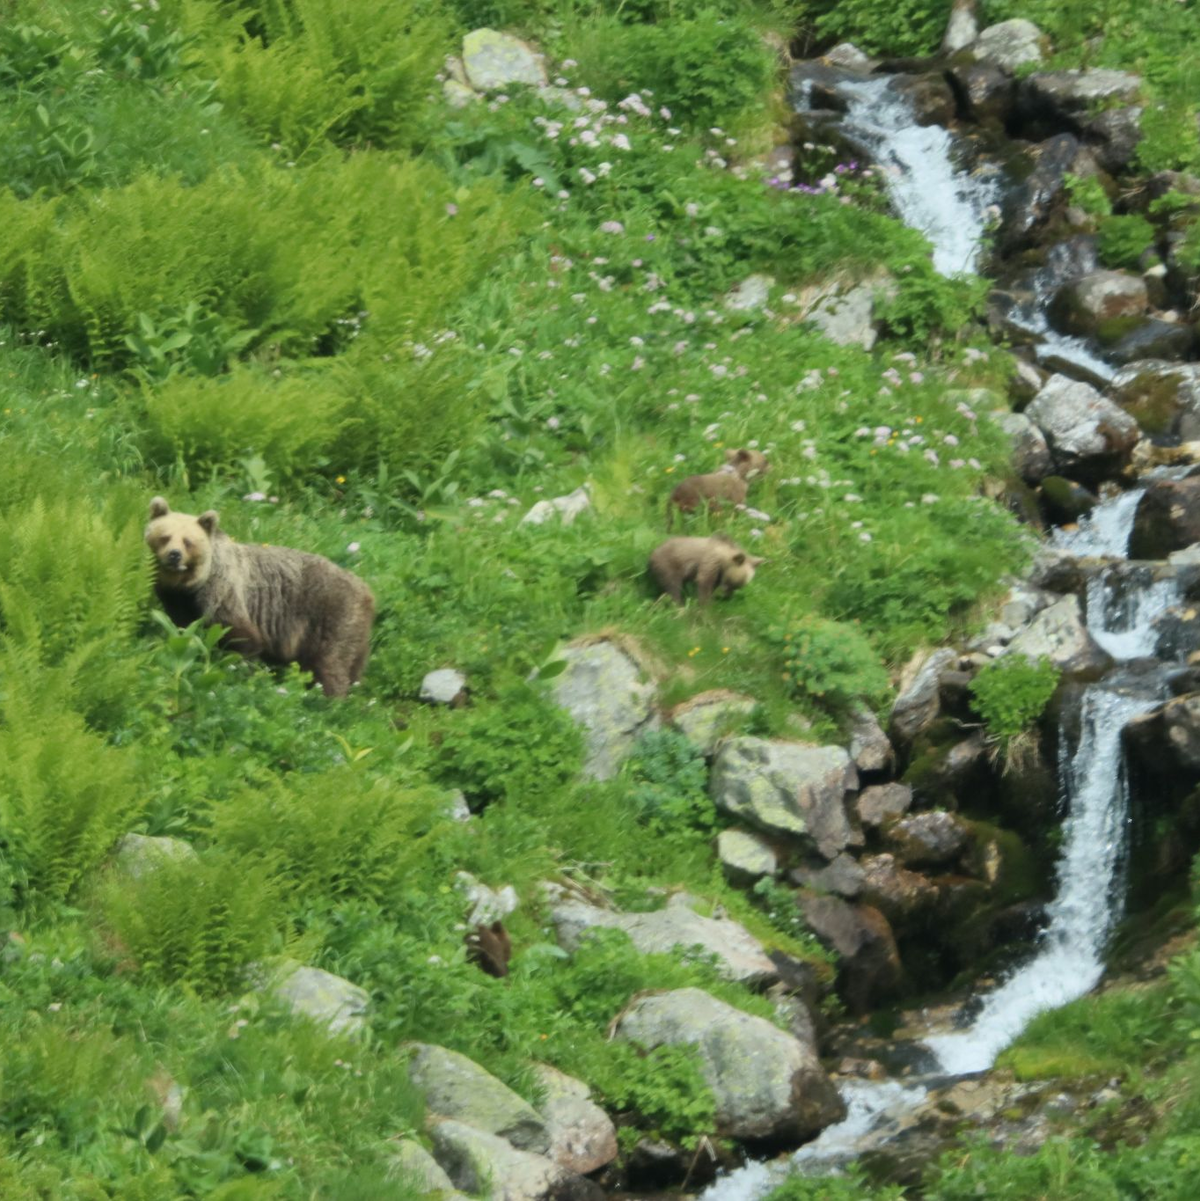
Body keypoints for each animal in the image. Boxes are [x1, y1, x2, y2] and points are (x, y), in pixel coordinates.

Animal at [144, 496, 375, 698]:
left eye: (188, 541)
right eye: (165, 536)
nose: (174, 555)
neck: (190, 583)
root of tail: (367, 592)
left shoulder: (222, 592)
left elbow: (241, 635)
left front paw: (239, 671)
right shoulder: (176, 599)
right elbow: (181, 627)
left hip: (332, 616)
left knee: (331, 661)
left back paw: (329, 699)